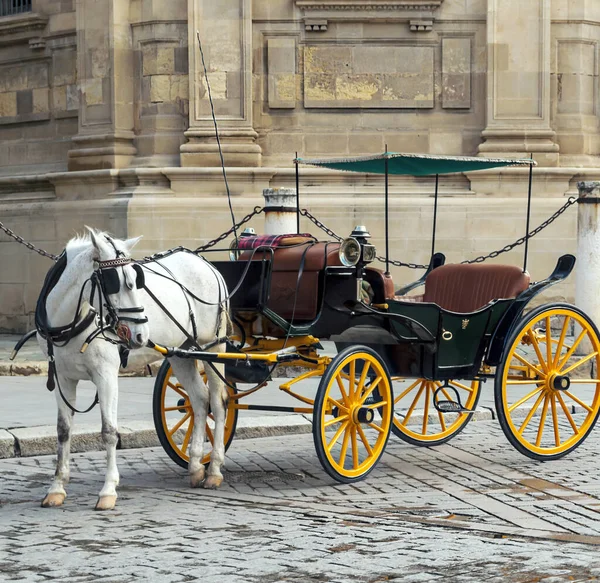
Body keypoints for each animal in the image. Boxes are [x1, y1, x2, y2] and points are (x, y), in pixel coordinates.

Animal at [37, 228, 229, 512]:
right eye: (113, 281)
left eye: (136, 280)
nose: (141, 335)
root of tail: (206, 264)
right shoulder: (63, 377)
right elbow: (63, 431)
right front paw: (57, 488)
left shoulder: (106, 375)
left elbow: (109, 431)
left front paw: (108, 490)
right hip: (181, 353)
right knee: (199, 400)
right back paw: (195, 466)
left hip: (213, 346)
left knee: (218, 401)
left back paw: (214, 469)